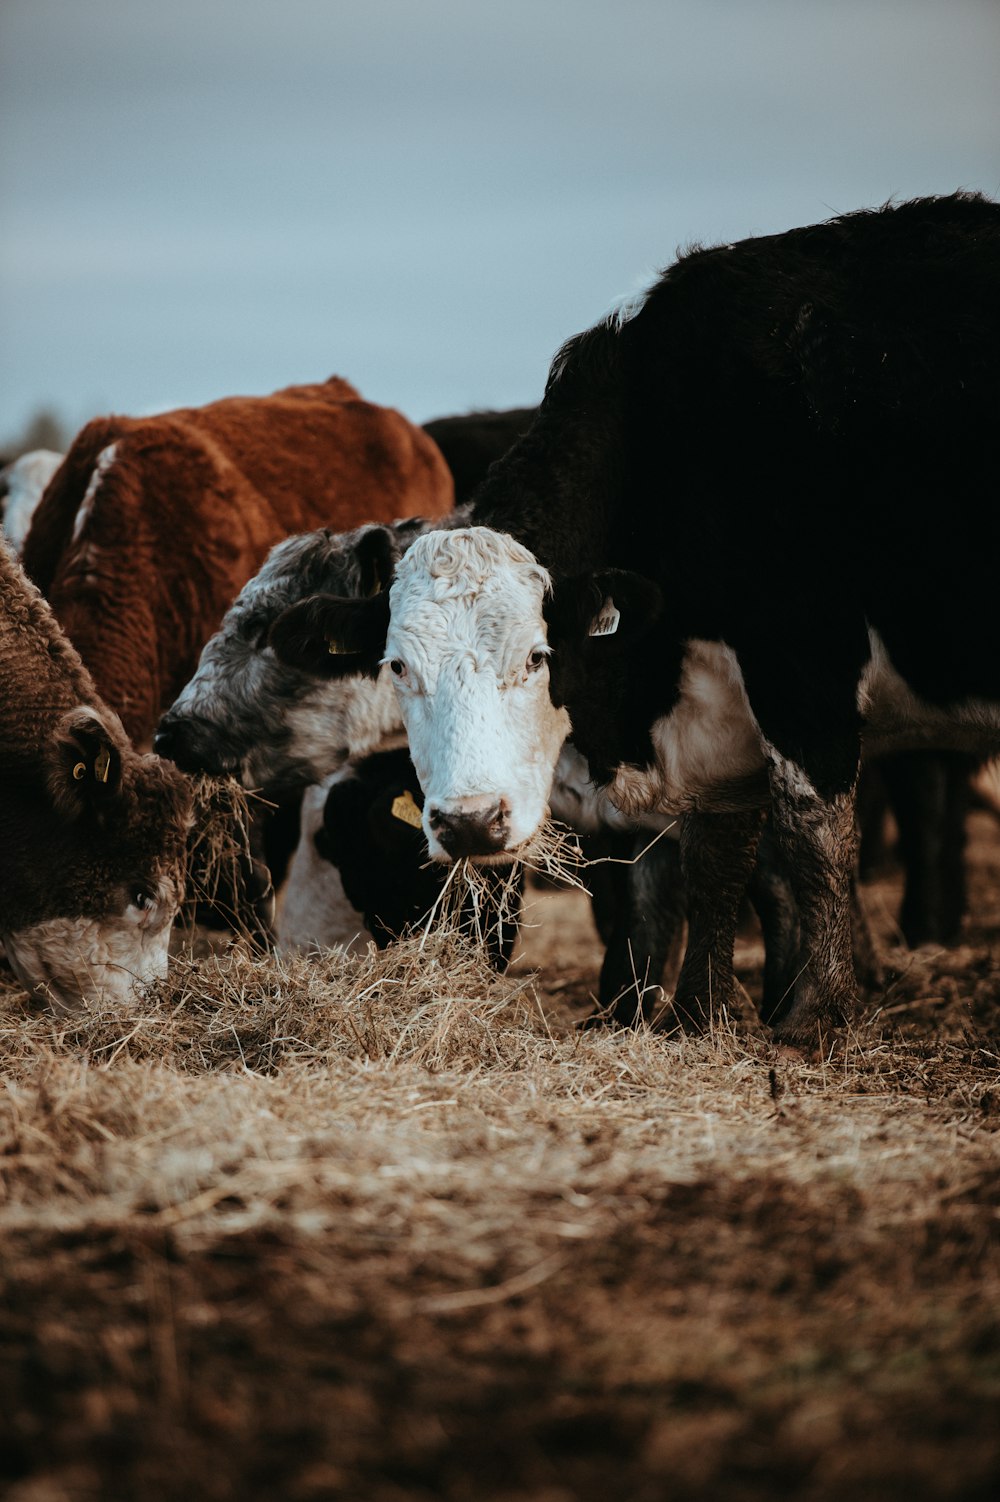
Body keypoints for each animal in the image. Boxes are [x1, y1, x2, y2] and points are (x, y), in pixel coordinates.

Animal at [262, 193, 996, 1045]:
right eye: (398, 666)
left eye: (540, 656)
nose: (470, 822)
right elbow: (689, 867)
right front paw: (667, 1015)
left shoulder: (800, 656)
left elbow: (810, 837)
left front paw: (813, 1015)